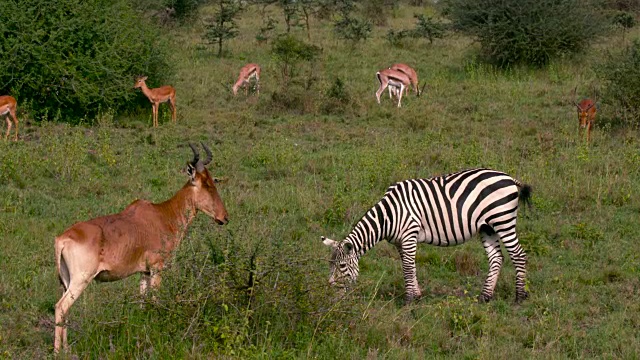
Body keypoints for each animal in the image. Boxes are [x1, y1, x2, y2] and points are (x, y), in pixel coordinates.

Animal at [54, 142, 230, 352]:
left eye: (213, 181)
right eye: (206, 184)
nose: (224, 218)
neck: (162, 214)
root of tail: (62, 238)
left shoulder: (144, 272)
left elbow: (143, 302)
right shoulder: (156, 268)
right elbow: (154, 300)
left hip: (66, 281)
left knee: (65, 310)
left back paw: (67, 349)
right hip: (81, 280)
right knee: (61, 307)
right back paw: (58, 351)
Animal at [322, 167, 532, 302]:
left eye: (342, 265)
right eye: (330, 265)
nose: (330, 293)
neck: (388, 216)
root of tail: (509, 178)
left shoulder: (409, 234)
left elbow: (408, 268)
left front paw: (408, 300)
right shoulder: (400, 241)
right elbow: (409, 266)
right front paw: (417, 295)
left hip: (502, 220)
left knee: (518, 255)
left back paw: (519, 297)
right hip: (487, 227)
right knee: (496, 258)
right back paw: (484, 297)